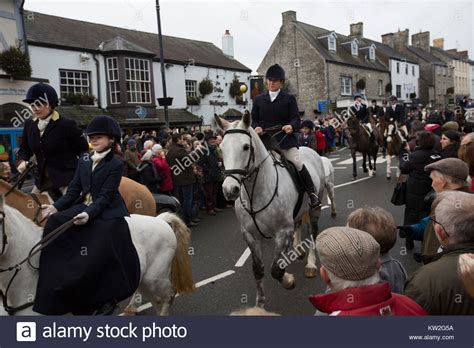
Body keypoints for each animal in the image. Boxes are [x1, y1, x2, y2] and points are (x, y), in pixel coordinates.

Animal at [215, 111, 326, 308]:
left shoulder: (282, 231)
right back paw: (298, 250)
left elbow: (276, 270)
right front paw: (259, 304)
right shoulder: (250, 235)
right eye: (221, 147)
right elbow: (258, 270)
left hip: (314, 208)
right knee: (298, 224)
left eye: (245, 147)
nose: (229, 190)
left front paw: (288, 280)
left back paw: (311, 265)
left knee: (313, 233)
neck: (255, 193)